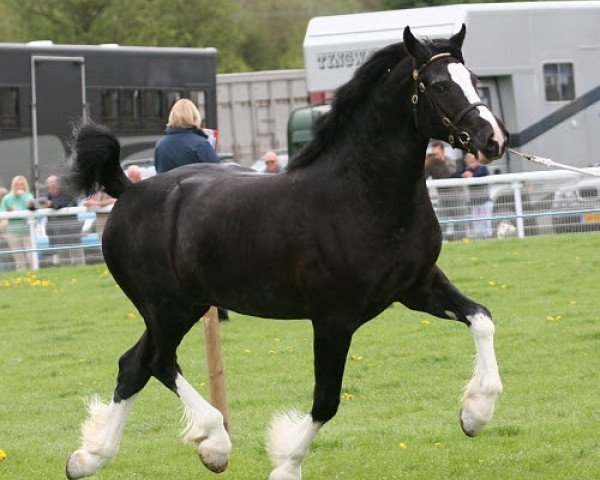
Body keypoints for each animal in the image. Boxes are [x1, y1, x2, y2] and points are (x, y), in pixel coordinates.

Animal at [65, 26, 506, 480]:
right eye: (439, 85)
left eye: (473, 79)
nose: (493, 140)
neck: (362, 195)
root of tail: (129, 190)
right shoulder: (334, 317)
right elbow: (326, 400)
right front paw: (287, 463)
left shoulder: (417, 286)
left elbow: (482, 318)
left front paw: (474, 414)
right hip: (167, 306)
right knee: (159, 363)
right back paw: (214, 443)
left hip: (184, 306)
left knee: (134, 364)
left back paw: (89, 458)